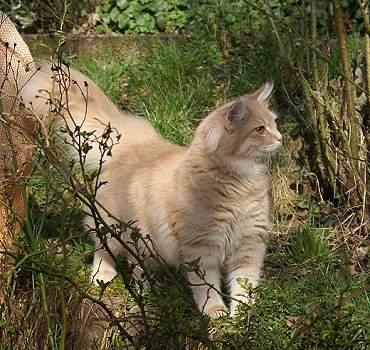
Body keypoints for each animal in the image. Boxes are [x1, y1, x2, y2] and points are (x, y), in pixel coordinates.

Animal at [21, 63, 282, 318]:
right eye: (260, 129)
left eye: (274, 125)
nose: (281, 138)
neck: (241, 186)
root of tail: (133, 144)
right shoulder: (201, 246)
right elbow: (206, 286)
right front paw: (215, 311)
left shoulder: (249, 241)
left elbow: (244, 282)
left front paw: (242, 313)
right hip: (113, 227)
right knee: (104, 248)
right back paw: (105, 276)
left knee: (136, 262)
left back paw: (148, 287)